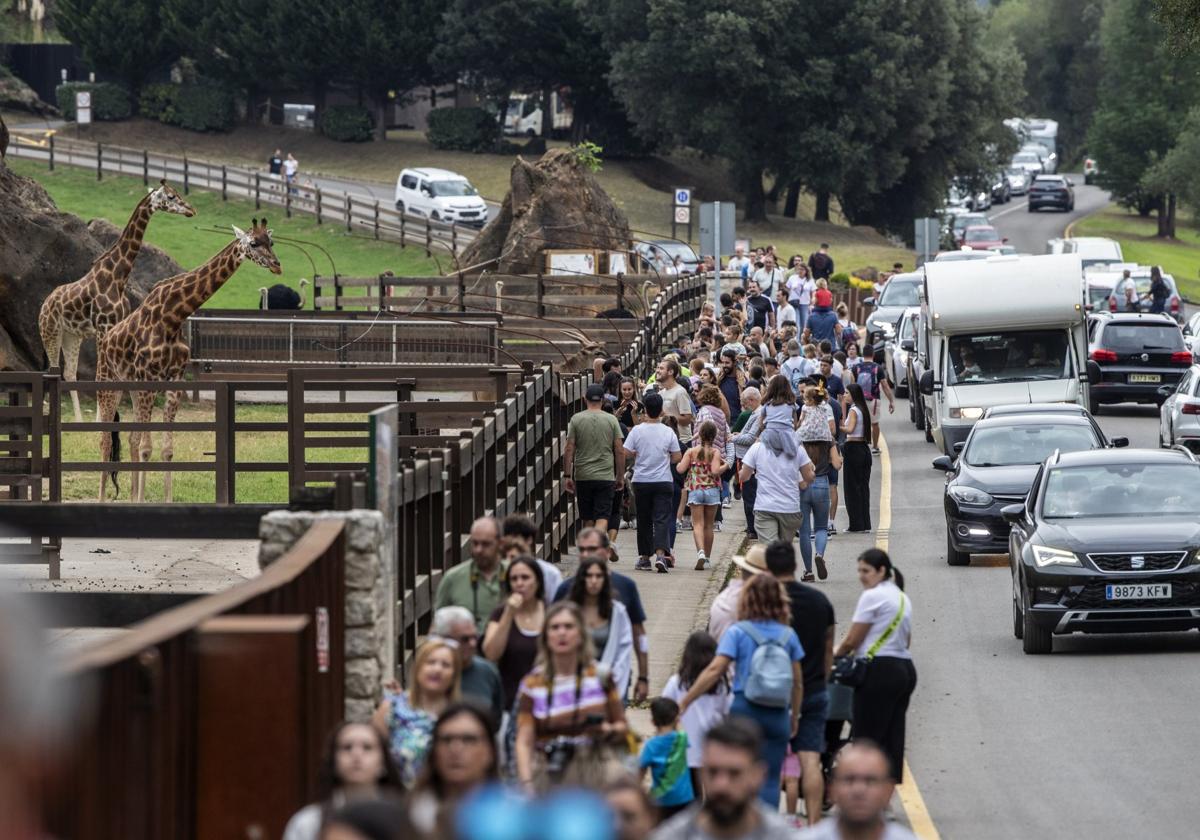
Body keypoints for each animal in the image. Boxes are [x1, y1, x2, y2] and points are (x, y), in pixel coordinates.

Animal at [37, 180, 194, 422]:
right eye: (170, 196)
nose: (191, 210)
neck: (118, 276)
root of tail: (45, 303)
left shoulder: (113, 327)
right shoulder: (103, 326)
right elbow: (100, 378)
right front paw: (102, 420)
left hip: (72, 335)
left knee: (69, 373)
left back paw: (79, 420)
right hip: (50, 331)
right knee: (53, 371)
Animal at [95, 219, 280, 501]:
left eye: (272, 242)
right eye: (253, 243)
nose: (277, 265)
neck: (174, 315)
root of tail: (104, 343)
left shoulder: (174, 379)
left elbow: (166, 449)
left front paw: (160, 500)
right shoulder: (150, 378)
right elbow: (148, 447)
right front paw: (142, 500)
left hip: (133, 388)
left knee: (131, 438)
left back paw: (130, 496)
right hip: (108, 384)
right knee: (105, 440)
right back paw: (103, 498)